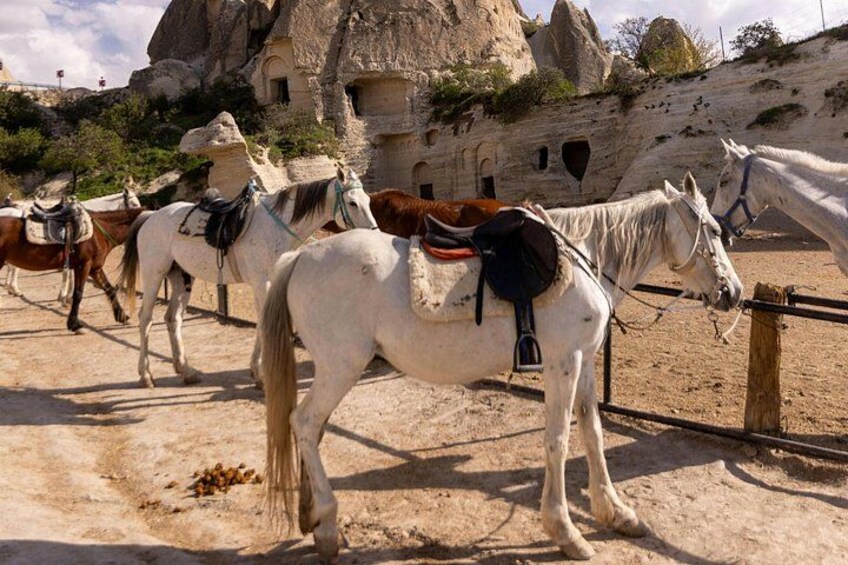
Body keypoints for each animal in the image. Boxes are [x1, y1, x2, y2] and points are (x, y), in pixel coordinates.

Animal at [0, 206, 147, 332]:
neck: (99, 232)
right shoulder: (84, 266)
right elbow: (78, 294)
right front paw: (74, 325)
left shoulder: (95, 268)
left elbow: (109, 289)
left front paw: (122, 316)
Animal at [118, 168, 378, 389]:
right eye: (352, 202)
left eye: (368, 200)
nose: (373, 234)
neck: (277, 226)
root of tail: (151, 216)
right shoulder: (262, 283)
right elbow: (263, 323)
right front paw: (261, 374)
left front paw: (258, 372)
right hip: (154, 275)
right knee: (145, 319)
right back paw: (146, 375)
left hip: (182, 278)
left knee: (173, 318)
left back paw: (186, 371)